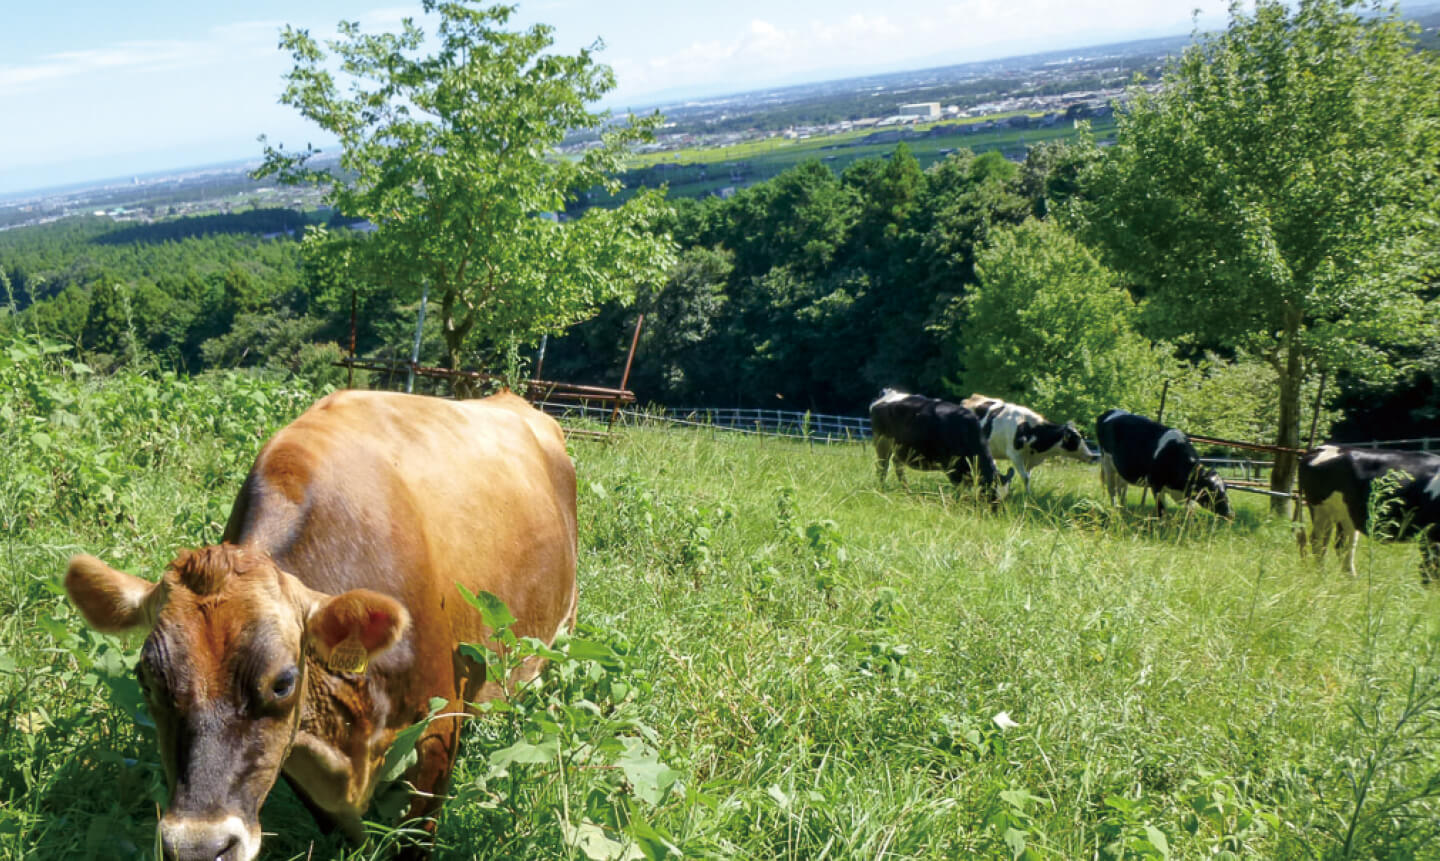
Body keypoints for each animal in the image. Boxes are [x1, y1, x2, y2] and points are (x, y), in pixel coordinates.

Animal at [864, 388, 1013, 503]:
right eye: (990, 495)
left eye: (1006, 497)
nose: (996, 514)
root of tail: (888, 393)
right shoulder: (951, 467)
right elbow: (960, 489)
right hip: (882, 442)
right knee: (882, 468)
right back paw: (882, 490)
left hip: (902, 447)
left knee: (897, 465)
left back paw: (907, 491)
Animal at [961, 397, 1094, 495]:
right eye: (1076, 439)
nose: (1090, 455)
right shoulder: (1015, 455)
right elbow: (1025, 477)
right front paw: (1028, 495)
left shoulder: (1030, 460)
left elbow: (1028, 477)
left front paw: (1028, 494)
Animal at [1094, 408, 1232, 518]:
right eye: (1212, 491)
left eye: (1225, 489)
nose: (1230, 514)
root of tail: (1110, 412)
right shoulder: (1156, 485)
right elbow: (1161, 510)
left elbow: (1189, 511)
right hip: (1106, 462)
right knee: (1111, 488)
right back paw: (1115, 509)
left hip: (1120, 468)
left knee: (1121, 487)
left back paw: (1124, 508)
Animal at [1296, 446, 1440, 581]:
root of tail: (1319, 449)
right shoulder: (1429, 535)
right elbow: (1429, 569)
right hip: (1320, 510)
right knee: (1318, 542)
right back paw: (1322, 576)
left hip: (1345, 517)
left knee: (1341, 547)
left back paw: (1350, 581)